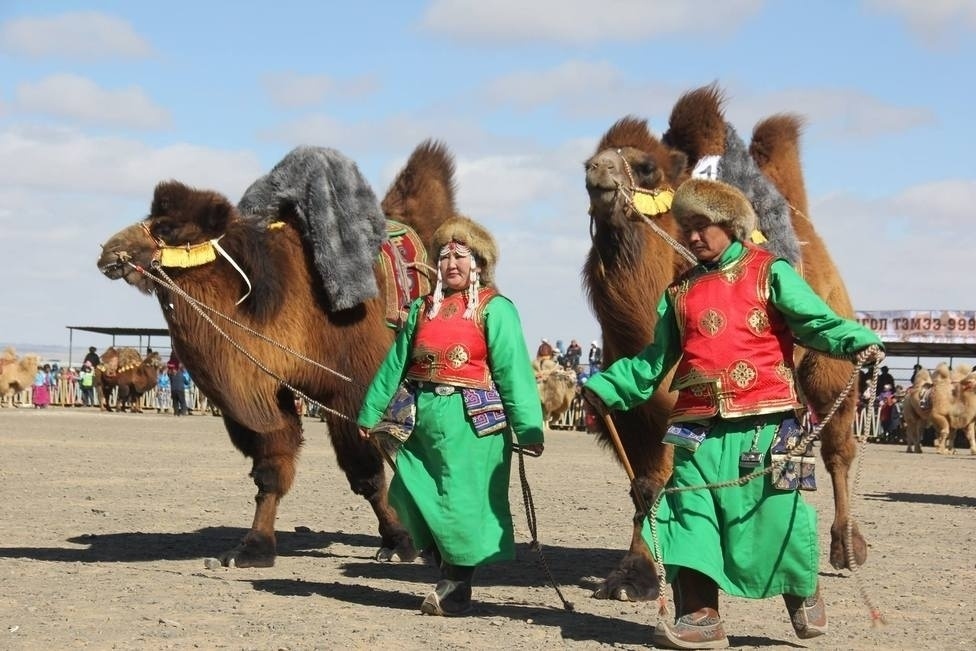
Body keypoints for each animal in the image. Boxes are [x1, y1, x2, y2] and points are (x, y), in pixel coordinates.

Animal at [97, 141, 455, 568]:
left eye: (167, 228)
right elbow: (271, 470)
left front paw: (399, 541)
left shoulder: (354, 388)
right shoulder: (269, 390)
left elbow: (367, 472)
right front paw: (252, 548)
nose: (109, 251)